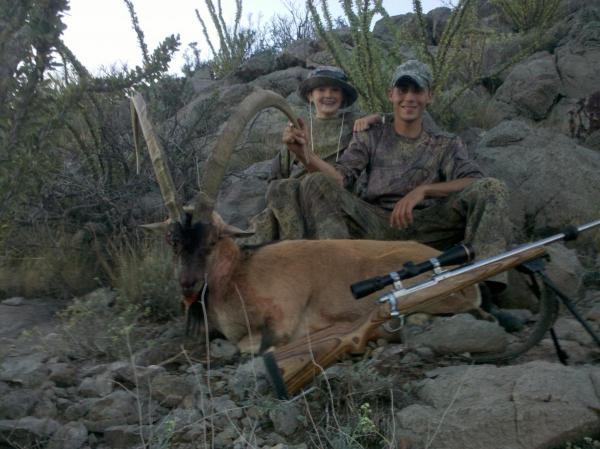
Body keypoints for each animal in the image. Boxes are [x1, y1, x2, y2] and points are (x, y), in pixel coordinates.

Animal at [130, 89, 482, 354]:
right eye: (172, 240)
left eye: (212, 239)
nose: (188, 285)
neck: (238, 274)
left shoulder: (283, 318)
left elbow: (258, 346)